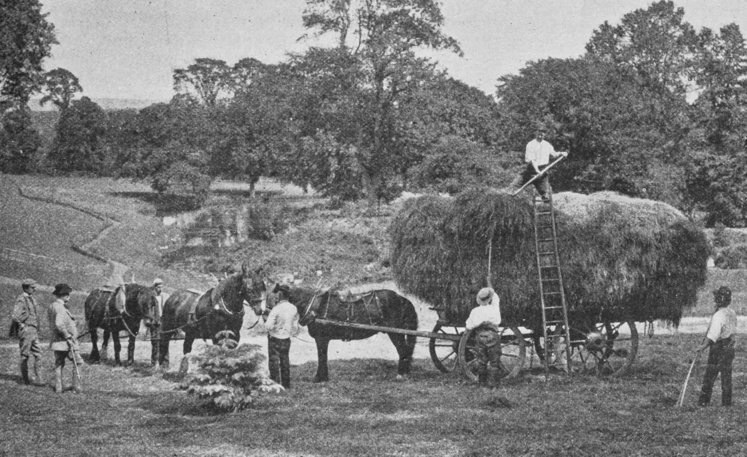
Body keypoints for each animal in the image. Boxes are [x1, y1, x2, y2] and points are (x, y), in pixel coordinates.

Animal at [286, 284, 418, 382]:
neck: (315, 306)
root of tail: (400, 298)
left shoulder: (321, 338)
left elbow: (321, 357)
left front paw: (319, 378)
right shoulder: (323, 339)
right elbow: (323, 357)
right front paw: (323, 377)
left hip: (396, 333)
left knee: (403, 350)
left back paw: (401, 374)